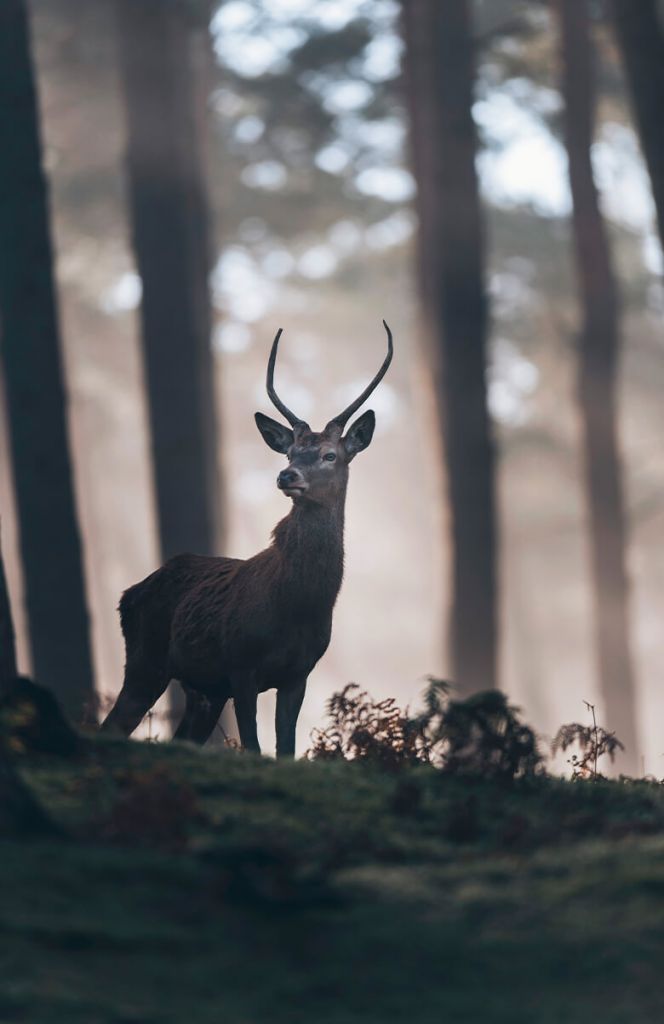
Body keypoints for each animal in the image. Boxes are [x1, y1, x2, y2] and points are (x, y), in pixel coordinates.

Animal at [101, 323, 393, 757]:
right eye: (289, 452)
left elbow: (286, 749)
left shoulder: (298, 673)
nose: (287, 475)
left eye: (329, 455)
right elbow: (254, 747)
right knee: (113, 725)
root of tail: (128, 594)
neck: (297, 606)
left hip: (201, 689)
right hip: (144, 659)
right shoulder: (241, 665)